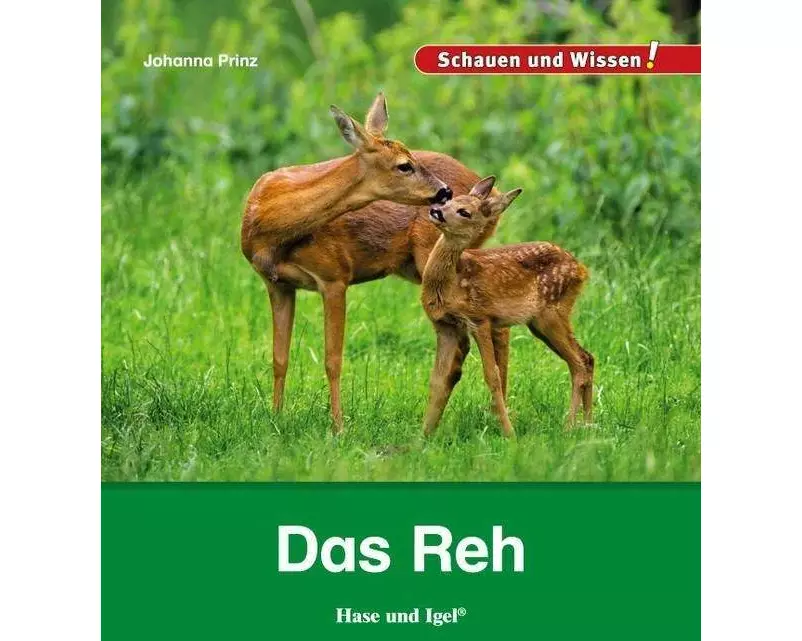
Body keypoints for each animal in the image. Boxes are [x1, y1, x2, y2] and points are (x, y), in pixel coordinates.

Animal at [241, 93, 512, 433]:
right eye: (404, 165)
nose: (444, 191)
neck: (269, 223)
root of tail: (494, 195)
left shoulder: (334, 276)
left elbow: (333, 359)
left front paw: (338, 427)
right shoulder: (277, 284)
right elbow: (279, 357)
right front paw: (276, 418)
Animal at [421, 176, 594, 438]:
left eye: (465, 212)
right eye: (450, 200)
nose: (436, 211)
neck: (451, 283)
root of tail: (582, 270)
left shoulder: (480, 318)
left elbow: (492, 375)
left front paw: (508, 433)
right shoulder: (446, 326)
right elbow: (438, 380)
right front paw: (423, 435)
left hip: (551, 313)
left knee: (579, 364)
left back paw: (569, 427)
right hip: (540, 323)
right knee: (587, 358)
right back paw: (588, 424)